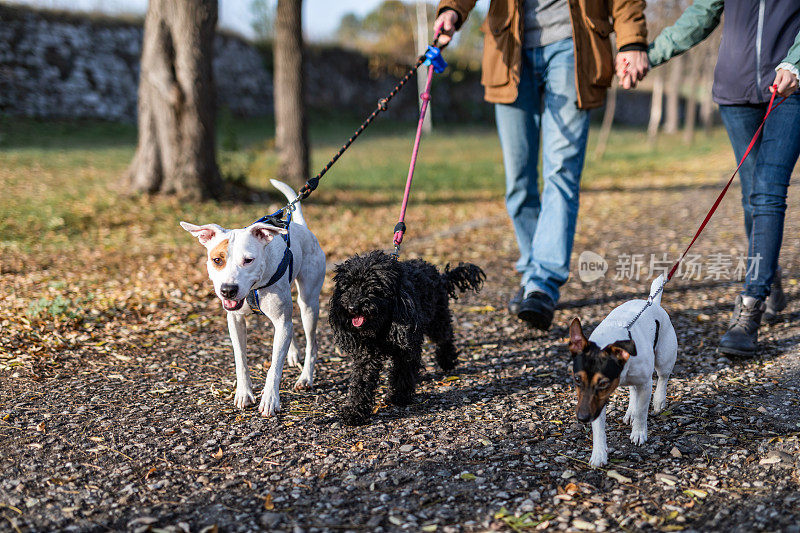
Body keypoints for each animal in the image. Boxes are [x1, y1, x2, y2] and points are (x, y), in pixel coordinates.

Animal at [181, 181, 324, 418]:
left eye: (248, 260)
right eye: (217, 260)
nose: (228, 290)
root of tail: (301, 227)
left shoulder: (281, 321)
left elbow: (274, 366)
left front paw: (270, 399)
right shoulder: (236, 321)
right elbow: (241, 359)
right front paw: (243, 393)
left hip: (309, 303)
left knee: (311, 342)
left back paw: (305, 377)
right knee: (291, 327)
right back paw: (293, 353)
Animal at [328, 249, 484, 424]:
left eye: (371, 286)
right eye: (347, 286)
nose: (352, 307)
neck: (381, 325)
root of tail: (441, 276)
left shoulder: (407, 348)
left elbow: (403, 372)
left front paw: (399, 397)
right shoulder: (366, 355)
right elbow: (361, 381)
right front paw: (354, 411)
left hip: (437, 320)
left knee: (446, 337)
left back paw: (447, 360)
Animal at [564, 274, 680, 466]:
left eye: (603, 383)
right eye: (577, 379)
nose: (582, 418)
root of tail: (652, 301)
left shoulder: (645, 384)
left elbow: (642, 411)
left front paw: (639, 433)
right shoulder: (597, 402)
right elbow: (599, 427)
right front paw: (599, 454)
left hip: (664, 356)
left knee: (663, 378)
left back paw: (658, 401)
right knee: (633, 390)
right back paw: (630, 411)